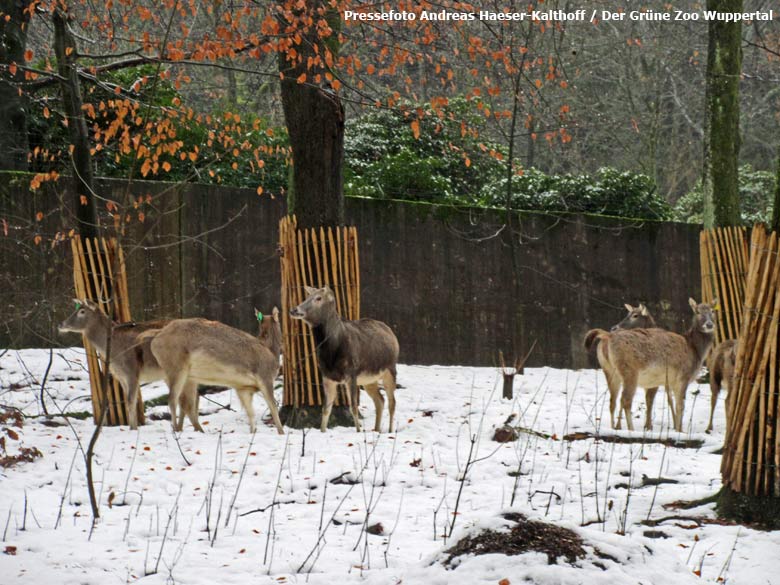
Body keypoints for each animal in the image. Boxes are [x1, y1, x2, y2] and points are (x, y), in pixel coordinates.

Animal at [57, 298, 184, 426]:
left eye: (82, 311)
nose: (60, 324)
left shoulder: (132, 371)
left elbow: (131, 401)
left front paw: (133, 427)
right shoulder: (121, 376)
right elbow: (128, 401)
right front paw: (133, 426)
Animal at [142, 308, 284, 432]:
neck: (272, 354)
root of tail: (155, 340)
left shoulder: (243, 388)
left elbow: (251, 413)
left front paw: (253, 432)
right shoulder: (265, 377)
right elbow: (273, 408)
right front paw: (281, 432)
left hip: (184, 376)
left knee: (186, 403)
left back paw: (193, 429)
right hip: (176, 367)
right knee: (173, 399)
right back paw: (177, 430)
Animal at [290, 286, 400, 432]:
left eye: (318, 298)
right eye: (307, 297)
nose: (294, 310)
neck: (332, 353)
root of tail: (391, 333)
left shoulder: (351, 373)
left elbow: (353, 407)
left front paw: (358, 431)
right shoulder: (327, 376)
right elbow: (326, 409)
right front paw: (322, 430)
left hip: (390, 369)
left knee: (392, 402)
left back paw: (390, 430)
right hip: (369, 379)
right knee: (380, 400)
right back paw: (376, 429)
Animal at [588, 298, 716, 432]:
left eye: (713, 311)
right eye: (697, 312)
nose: (709, 324)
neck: (695, 351)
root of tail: (608, 336)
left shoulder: (667, 382)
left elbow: (672, 402)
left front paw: (674, 427)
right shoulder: (682, 377)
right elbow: (680, 405)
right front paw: (679, 430)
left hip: (609, 370)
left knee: (612, 400)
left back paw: (613, 428)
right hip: (630, 370)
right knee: (625, 399)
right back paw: (631, 429)